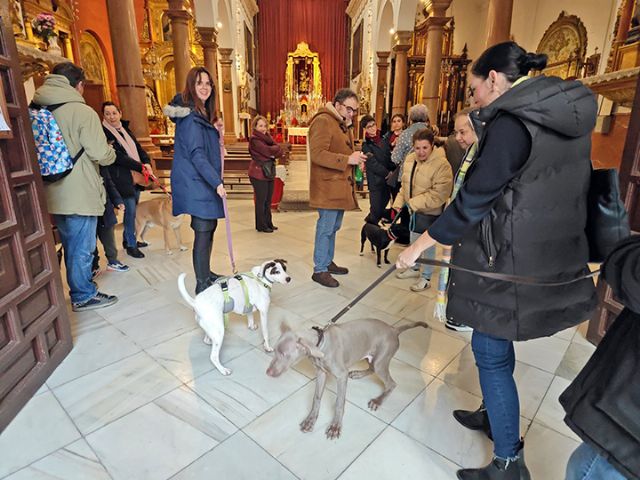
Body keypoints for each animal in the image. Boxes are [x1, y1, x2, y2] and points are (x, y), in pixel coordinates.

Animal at [264, 318, 424, 438]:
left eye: (284, 354)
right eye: (275, 350)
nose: (268, 372)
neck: (322, 344)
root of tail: (393, 329)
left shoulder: (341, 376)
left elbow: (339, 402)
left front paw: (335, 426)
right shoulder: (321, 373)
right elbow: (316, 398)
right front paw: (310, 420)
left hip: (380, 361)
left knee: (391, 383)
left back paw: (378, 401)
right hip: (372, 357)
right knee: (372, 368)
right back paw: (359, 374)